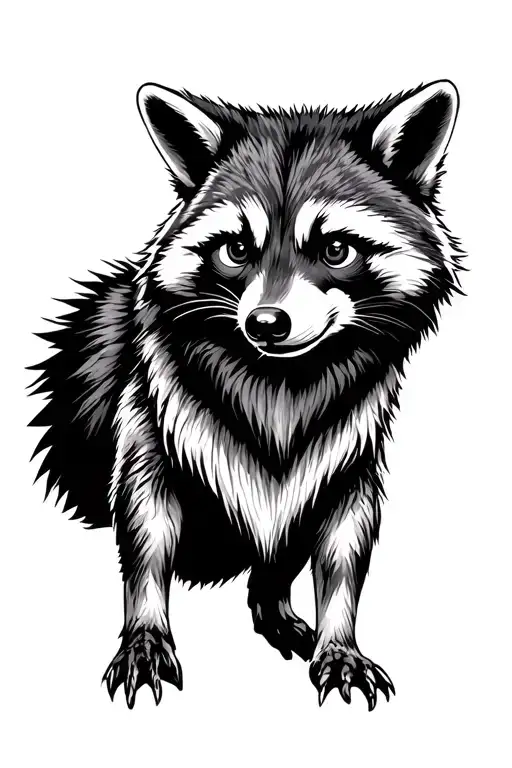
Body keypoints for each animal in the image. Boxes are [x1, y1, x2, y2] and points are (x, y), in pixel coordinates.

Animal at [30, 80, 464, 710]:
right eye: (236, 250)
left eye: (336, 250)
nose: (265, 324)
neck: (281, 382)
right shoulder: (148, 421)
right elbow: (145, 533)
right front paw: (145, 632)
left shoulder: (353, 451)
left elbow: (342, 546)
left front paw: (339, 639)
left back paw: (273, 599)